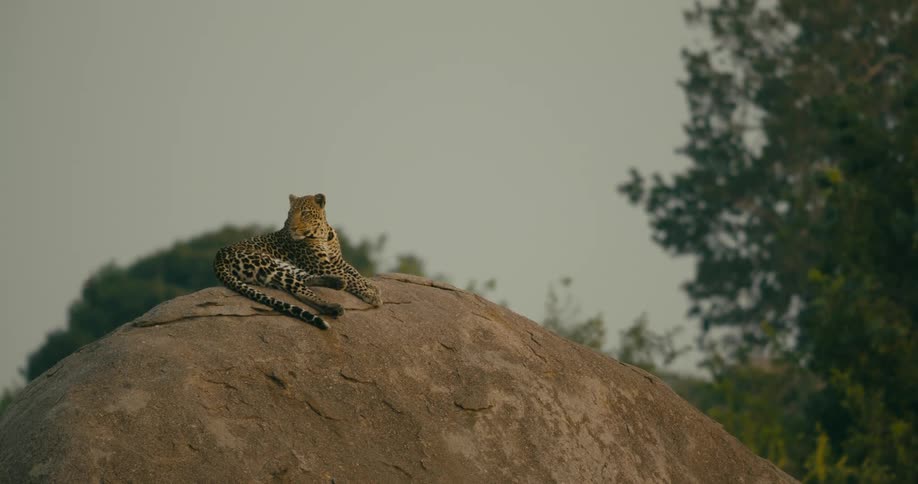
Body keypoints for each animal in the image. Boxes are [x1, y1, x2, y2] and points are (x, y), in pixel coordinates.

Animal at [213, 193, 382, 330]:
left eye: (305, 213)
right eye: (290, 213)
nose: (292, 228)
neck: (323, 234)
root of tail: (218, 257)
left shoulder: (337, 260)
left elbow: (354, 272)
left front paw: (372, 286)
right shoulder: (321, 265)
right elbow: (351, 278)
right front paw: (370, 294)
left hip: (283, 265)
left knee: (304, 279)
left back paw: (337, 283)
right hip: (267, 265)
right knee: (299, 290)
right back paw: (333, 306)